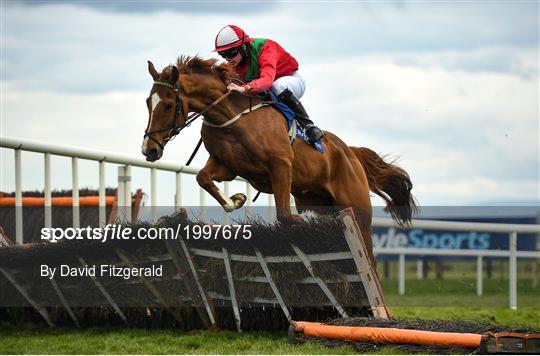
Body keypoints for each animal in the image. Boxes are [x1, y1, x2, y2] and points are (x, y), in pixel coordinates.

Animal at [141, 56, 416, 268]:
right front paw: (235, 200)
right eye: (147, 103)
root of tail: (350, 153)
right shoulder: (226, 165)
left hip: (358, 213)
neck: (230, 116)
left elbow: (284, 215)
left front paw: (296, 221)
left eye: (168, 104)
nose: (149, 150)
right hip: (322, 202)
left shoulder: (281, 165)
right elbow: (203, 177)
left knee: (369, 257)